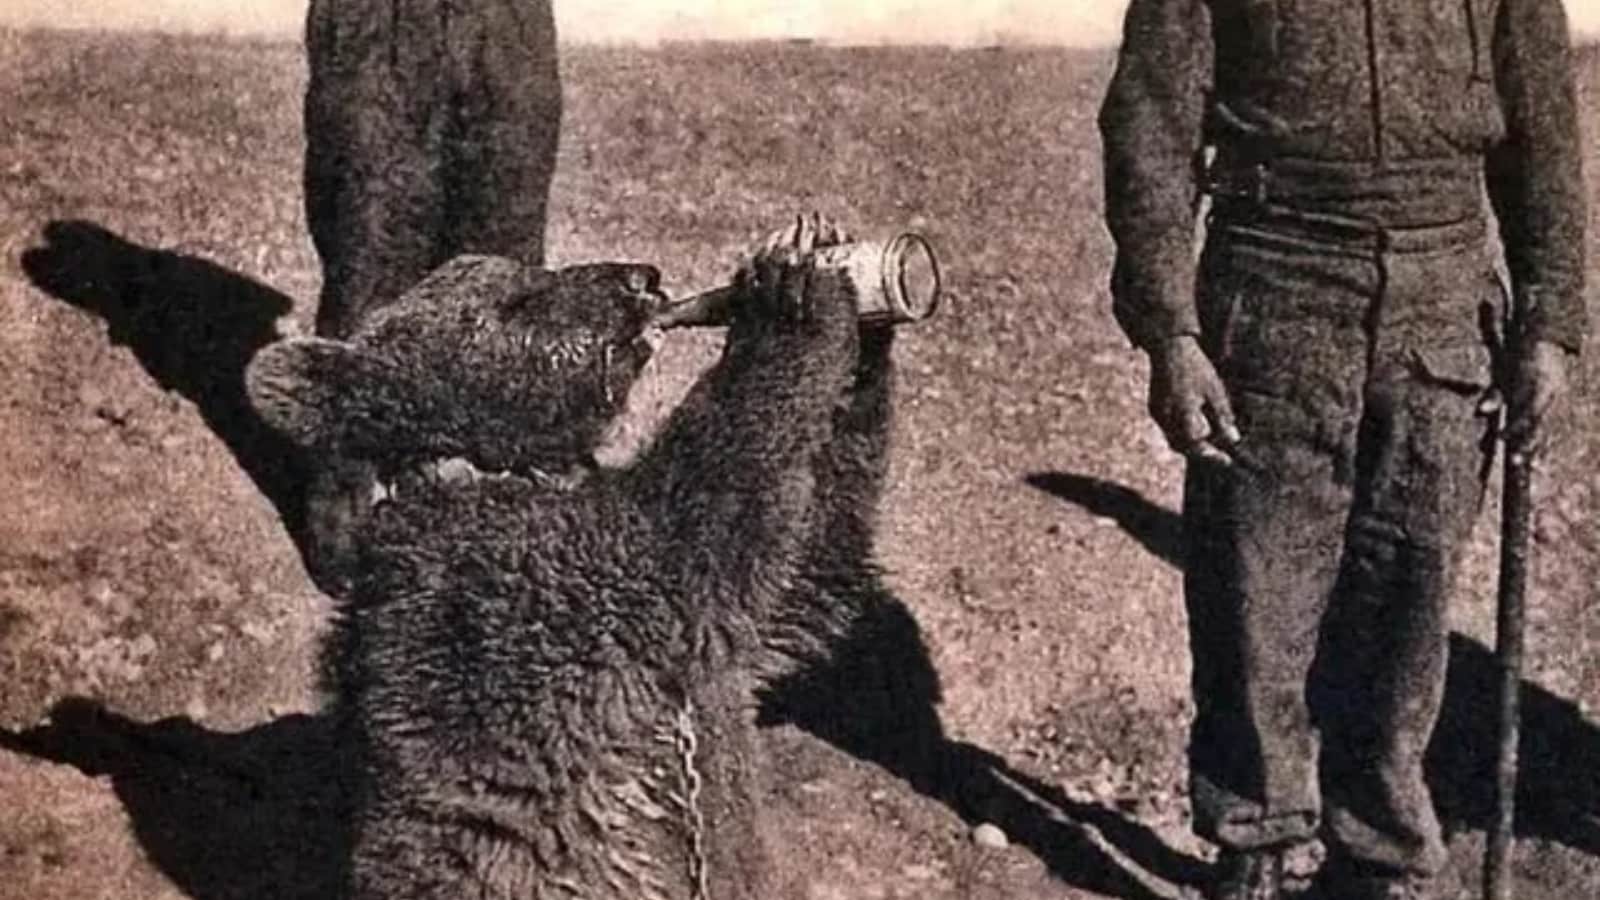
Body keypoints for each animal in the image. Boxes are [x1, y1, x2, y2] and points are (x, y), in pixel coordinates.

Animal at [244, 223, 901, 899]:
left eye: (539, 272)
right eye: (516, 301)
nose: (641, 278)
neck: (507, 461)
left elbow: (802, 588)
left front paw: (864, 317)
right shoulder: (544, 586)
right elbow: (714, 512)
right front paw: (791, 296)